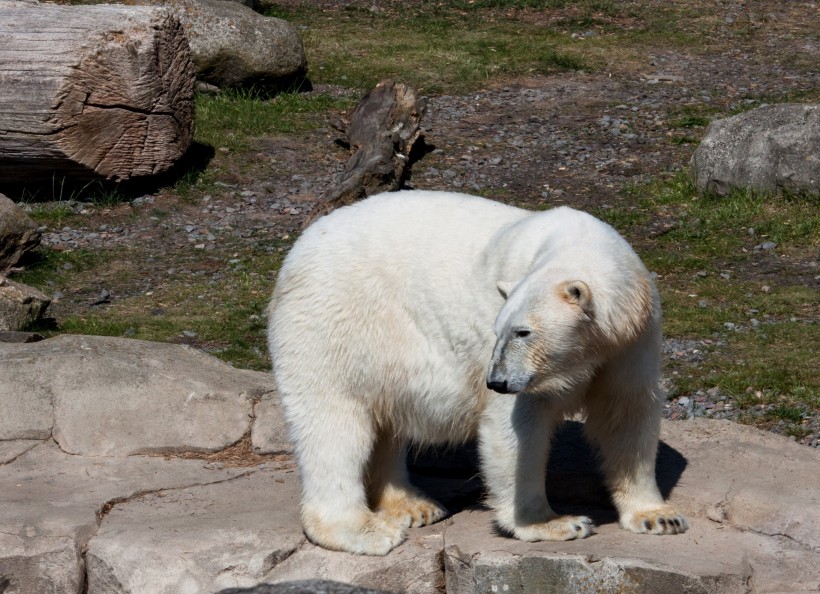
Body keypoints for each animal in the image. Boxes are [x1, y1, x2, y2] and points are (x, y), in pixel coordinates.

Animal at [268, 191, 684, 556]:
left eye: (523, 331)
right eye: (499, 329)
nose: (496, 382)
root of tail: (298, 249)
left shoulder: (632, 339)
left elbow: (626, 412)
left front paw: (659, 517)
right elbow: (517, 428)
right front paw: (555, 523)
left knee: (385, 415)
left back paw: (414, 506)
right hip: (334, 322)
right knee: (334, 423)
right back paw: (363, 531)